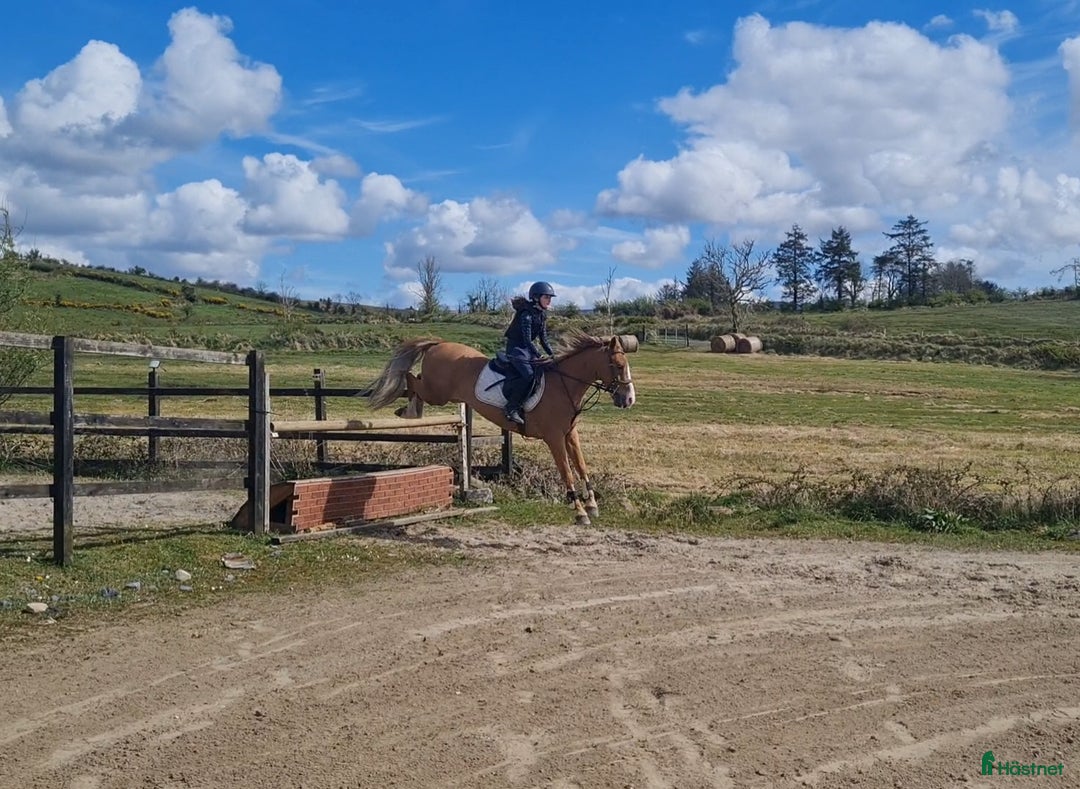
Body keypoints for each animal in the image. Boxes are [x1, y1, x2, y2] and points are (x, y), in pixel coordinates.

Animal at [366, 330, 637, 525]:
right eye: (618, 365)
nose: (629, 399)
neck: (565, 385)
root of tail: (441, 343)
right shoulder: (553, 438)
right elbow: (567, 472)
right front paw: (579, 511)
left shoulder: (570, 434)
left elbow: (581, 466)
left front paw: (592, 505)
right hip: (438, 393)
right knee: (412, 379)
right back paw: (409, 410)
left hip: (439, 392)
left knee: (416, 381)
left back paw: (410, 409)